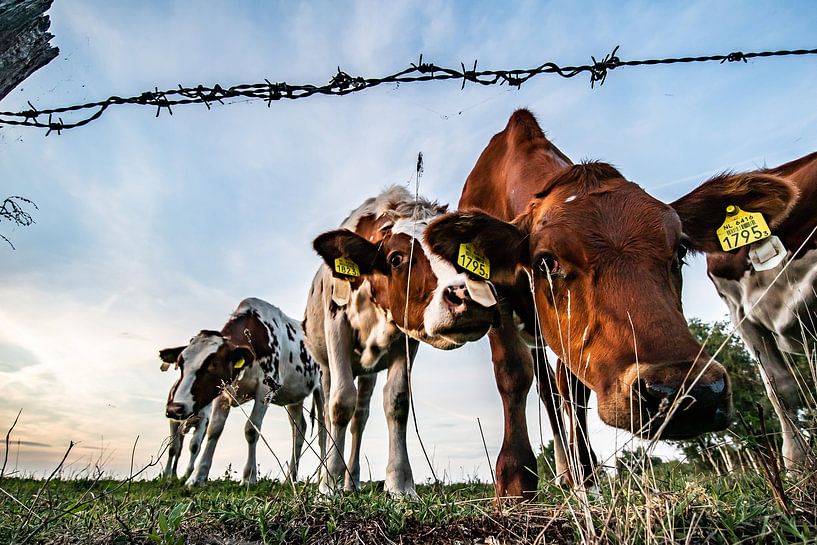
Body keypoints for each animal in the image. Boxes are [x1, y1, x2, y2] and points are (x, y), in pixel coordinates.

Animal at [161, 297, 326, 486]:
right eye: (180, 364)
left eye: (213, 364)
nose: (174, 408)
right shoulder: (224, 392)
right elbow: (214, 429)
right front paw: (198, 477)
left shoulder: (265, 389)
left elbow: (251, 430)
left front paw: (248, 478)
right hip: (294, 397)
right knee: (299, 430)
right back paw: (290, 479)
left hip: (323, 389)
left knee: (323, 432)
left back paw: (323, 477)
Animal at [305, 185, 497, 498]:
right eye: (396, 258)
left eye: (459, 253)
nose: (470, 296)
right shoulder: (337, 325)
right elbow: (340, 402)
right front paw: (329, 482)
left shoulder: (406, 339)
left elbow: (397, 401)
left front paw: (400, 483)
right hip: (323, 366)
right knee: (330, 412)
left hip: (367, 372)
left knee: (360, 418)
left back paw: (352, 481)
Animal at [424, 109, 741, 499]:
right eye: (546, 261)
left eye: (680, 249)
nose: (687, 392)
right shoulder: (493, 297)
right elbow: (513, 374)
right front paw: (515, 480)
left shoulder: (578, 341)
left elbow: (573, 390)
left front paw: (586, 475)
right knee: (543, 386)